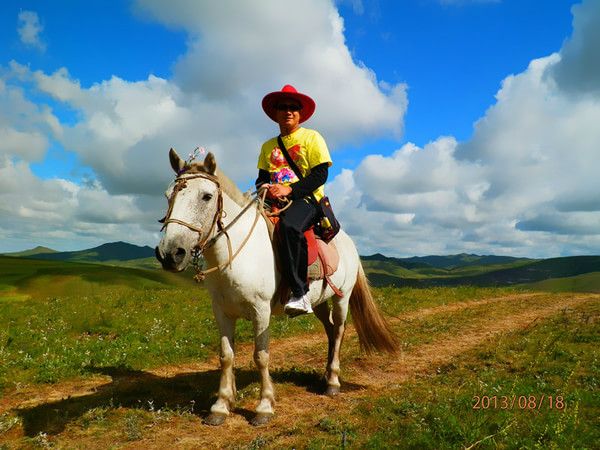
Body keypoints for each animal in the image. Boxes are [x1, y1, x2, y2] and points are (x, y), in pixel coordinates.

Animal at [155, 149, 398, 428]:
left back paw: (333, 382)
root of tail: (349, 243)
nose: (170, 254)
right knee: (329, 330)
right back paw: (326, 375)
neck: (237, 254)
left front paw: (264, 407)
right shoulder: (221, 311)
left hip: (342, 299)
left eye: (206, 196)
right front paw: (221, 406)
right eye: (168, 195)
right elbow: (226, 356)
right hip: (319, 302)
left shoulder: (261, 311)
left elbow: (261, 356)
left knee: (338, 332)